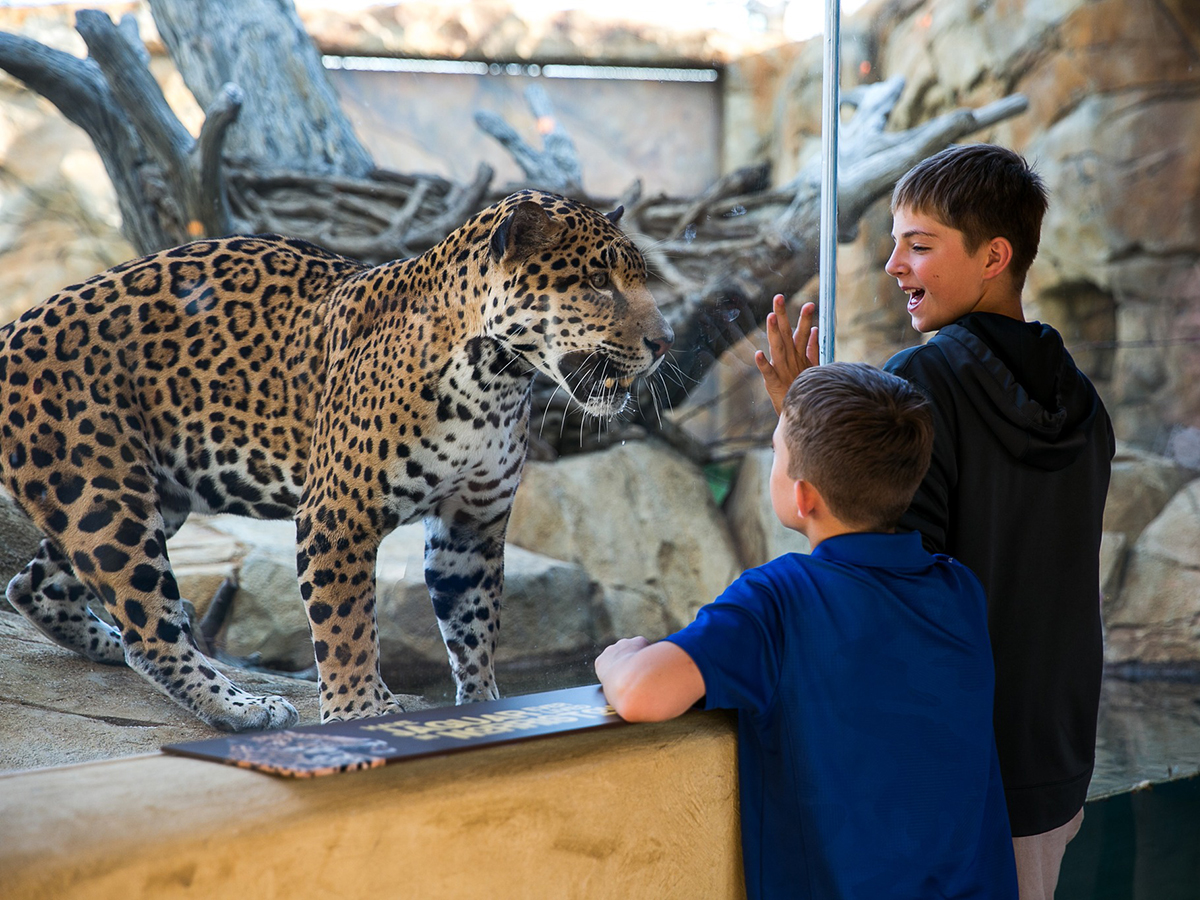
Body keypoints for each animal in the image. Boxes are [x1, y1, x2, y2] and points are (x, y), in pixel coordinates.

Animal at [0, 189, 672, 732]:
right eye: (597, 283)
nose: (665, 342)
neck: (498, 378)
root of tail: (11, 329)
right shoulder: (337, 516)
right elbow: (347, 627)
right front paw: (357, 711)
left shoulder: (471, 526)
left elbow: (474, 627)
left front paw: (482, 707)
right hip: (103, 499)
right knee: (150, 631)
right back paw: (241, 707)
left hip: (143, 494)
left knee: (34, 586)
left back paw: (105, 643)